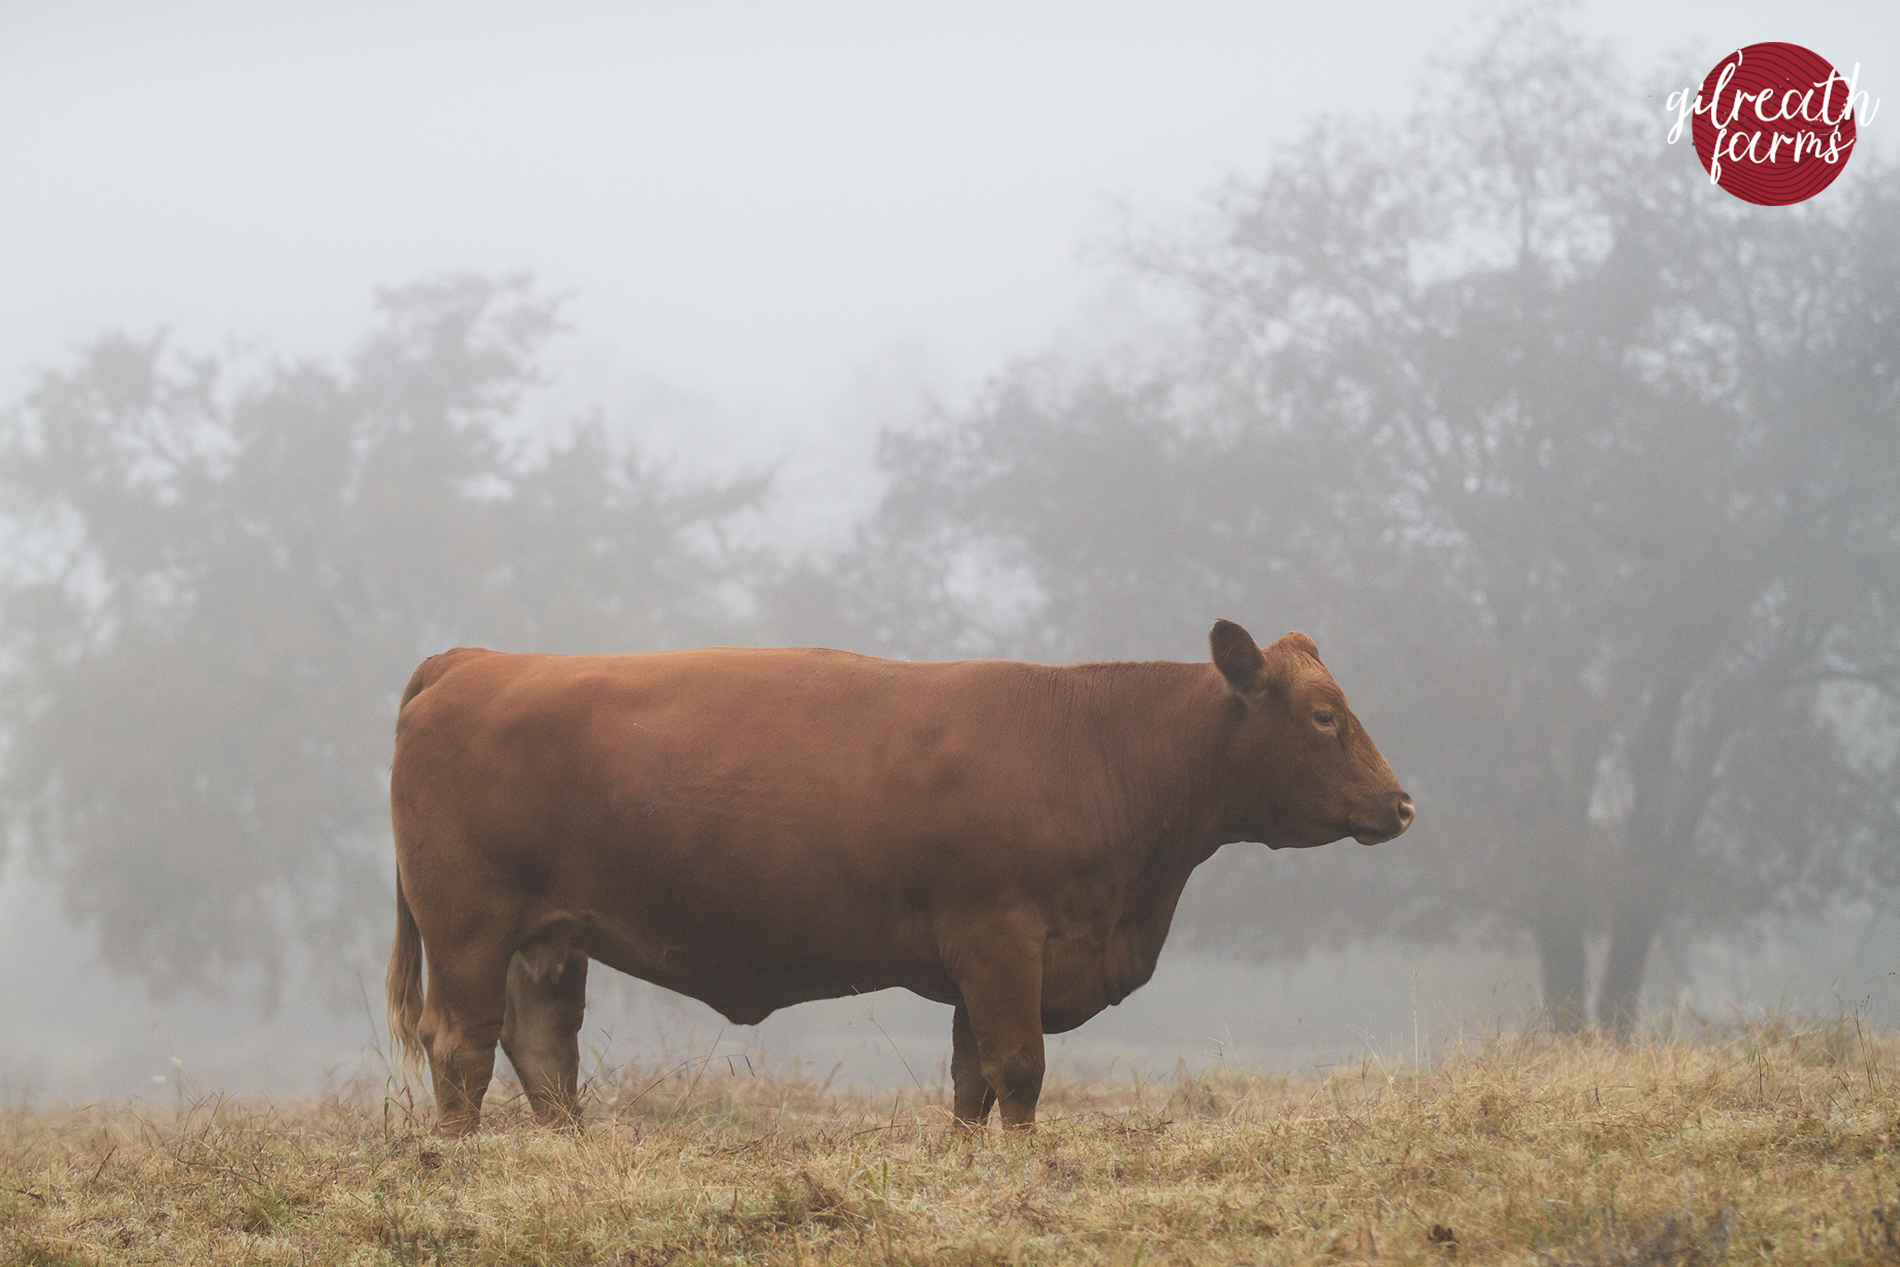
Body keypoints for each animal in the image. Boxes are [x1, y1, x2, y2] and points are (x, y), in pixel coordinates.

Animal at [385, 619, 1413, 1132]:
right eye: (1324, 715)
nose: (1401, 804)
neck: (1093, 746)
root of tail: (474, 658)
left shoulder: (983, 968)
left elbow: (972, 1081)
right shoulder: (1002, 938)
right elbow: (1020, 1071)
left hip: (547, 937)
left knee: (543, 1054)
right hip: (467, 924)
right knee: (461, 1048)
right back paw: (464, 1162)